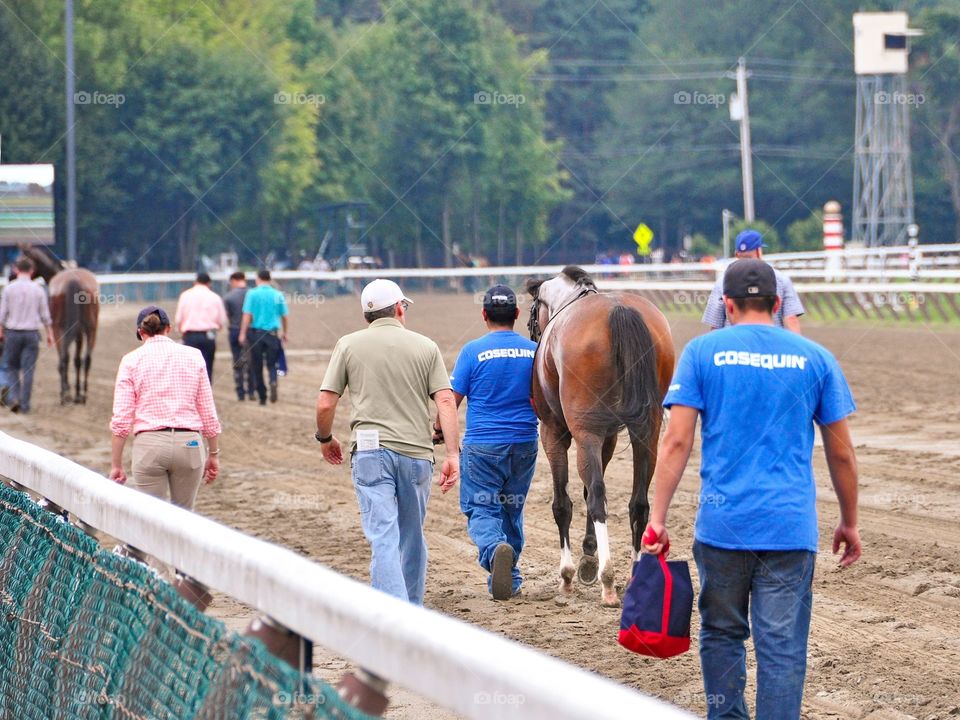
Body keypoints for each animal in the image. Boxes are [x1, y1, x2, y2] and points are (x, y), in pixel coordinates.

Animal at [19, 246, 99, 404]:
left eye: (19, 260)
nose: (11, 277)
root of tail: (73, 280)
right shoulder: (79, 333)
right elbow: (77, 361)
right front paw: (77, 394)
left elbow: (65, 359)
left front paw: (68, 391)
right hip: (91, 329)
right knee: (86, 359)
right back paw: (83, 395)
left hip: (58, 329)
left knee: (64, 358)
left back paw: (65, 395)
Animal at [524, 268, 676, 604]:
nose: (532, 332)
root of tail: (619, 310)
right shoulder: (607, 438)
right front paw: (588, 560)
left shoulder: (554, 433)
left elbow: (564, 502)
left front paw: (569, 574)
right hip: (647, 432)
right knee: (638, 503)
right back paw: (632, 578)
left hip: (585, 432)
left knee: (596, 496)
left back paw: (608, 580)